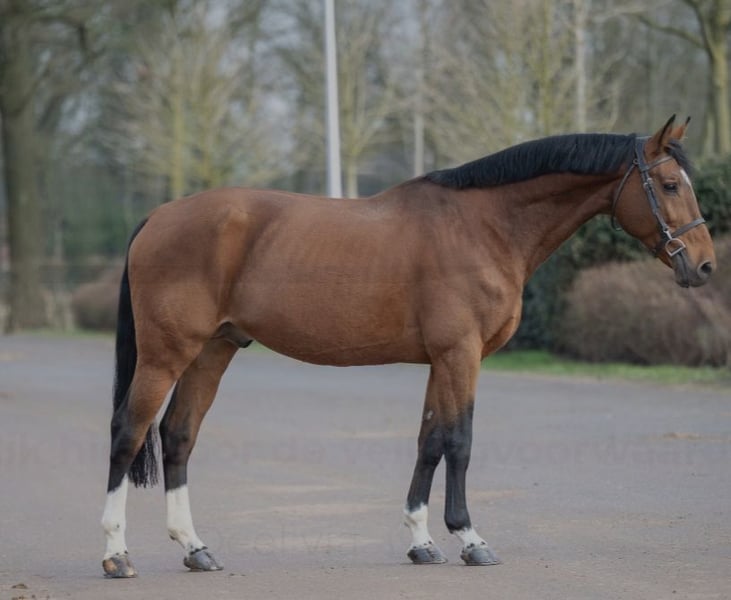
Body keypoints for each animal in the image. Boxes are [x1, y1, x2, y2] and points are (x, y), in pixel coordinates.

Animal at [101, 115, 715, 577]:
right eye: (669, 185)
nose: (706, 266)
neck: (483, 226)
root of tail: (159, 216)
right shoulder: (460, 354)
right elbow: (460, 441)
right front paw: (470, 539)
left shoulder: (440, 360)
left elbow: (430, 441)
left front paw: (422, 541)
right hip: (166, 353)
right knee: (129, 432)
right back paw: (116, 555)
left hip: (213, 350)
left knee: (178, 435)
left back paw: (195, 548)